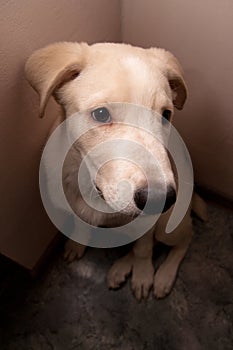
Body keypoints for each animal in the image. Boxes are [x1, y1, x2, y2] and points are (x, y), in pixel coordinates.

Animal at [25, 42, 207, 300]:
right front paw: (76, 244)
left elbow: (143, 250)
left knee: (183, 240)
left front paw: (143, 275)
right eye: (101, 114)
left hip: (168, 226)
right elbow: (82, 224)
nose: (160, 199)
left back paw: (162, 276)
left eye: (166, 115)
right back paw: (121, 268)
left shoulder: (148, 223)